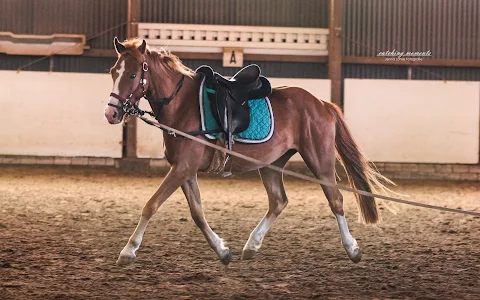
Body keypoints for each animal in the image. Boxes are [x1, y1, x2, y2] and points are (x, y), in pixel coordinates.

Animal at [103, 38, 392, 266]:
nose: (111, 114)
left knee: (336, 200)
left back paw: (352, 249)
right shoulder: (184, 170)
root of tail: (321, 103)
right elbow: (197, 213)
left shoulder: (183, 168)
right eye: (113, 72)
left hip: (319, 160)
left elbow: (151, 205)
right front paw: (222, 251)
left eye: (132, 75)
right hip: (272, 163)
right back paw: (251, 245)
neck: (183, 105)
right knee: (278, 201)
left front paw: (128, 251)